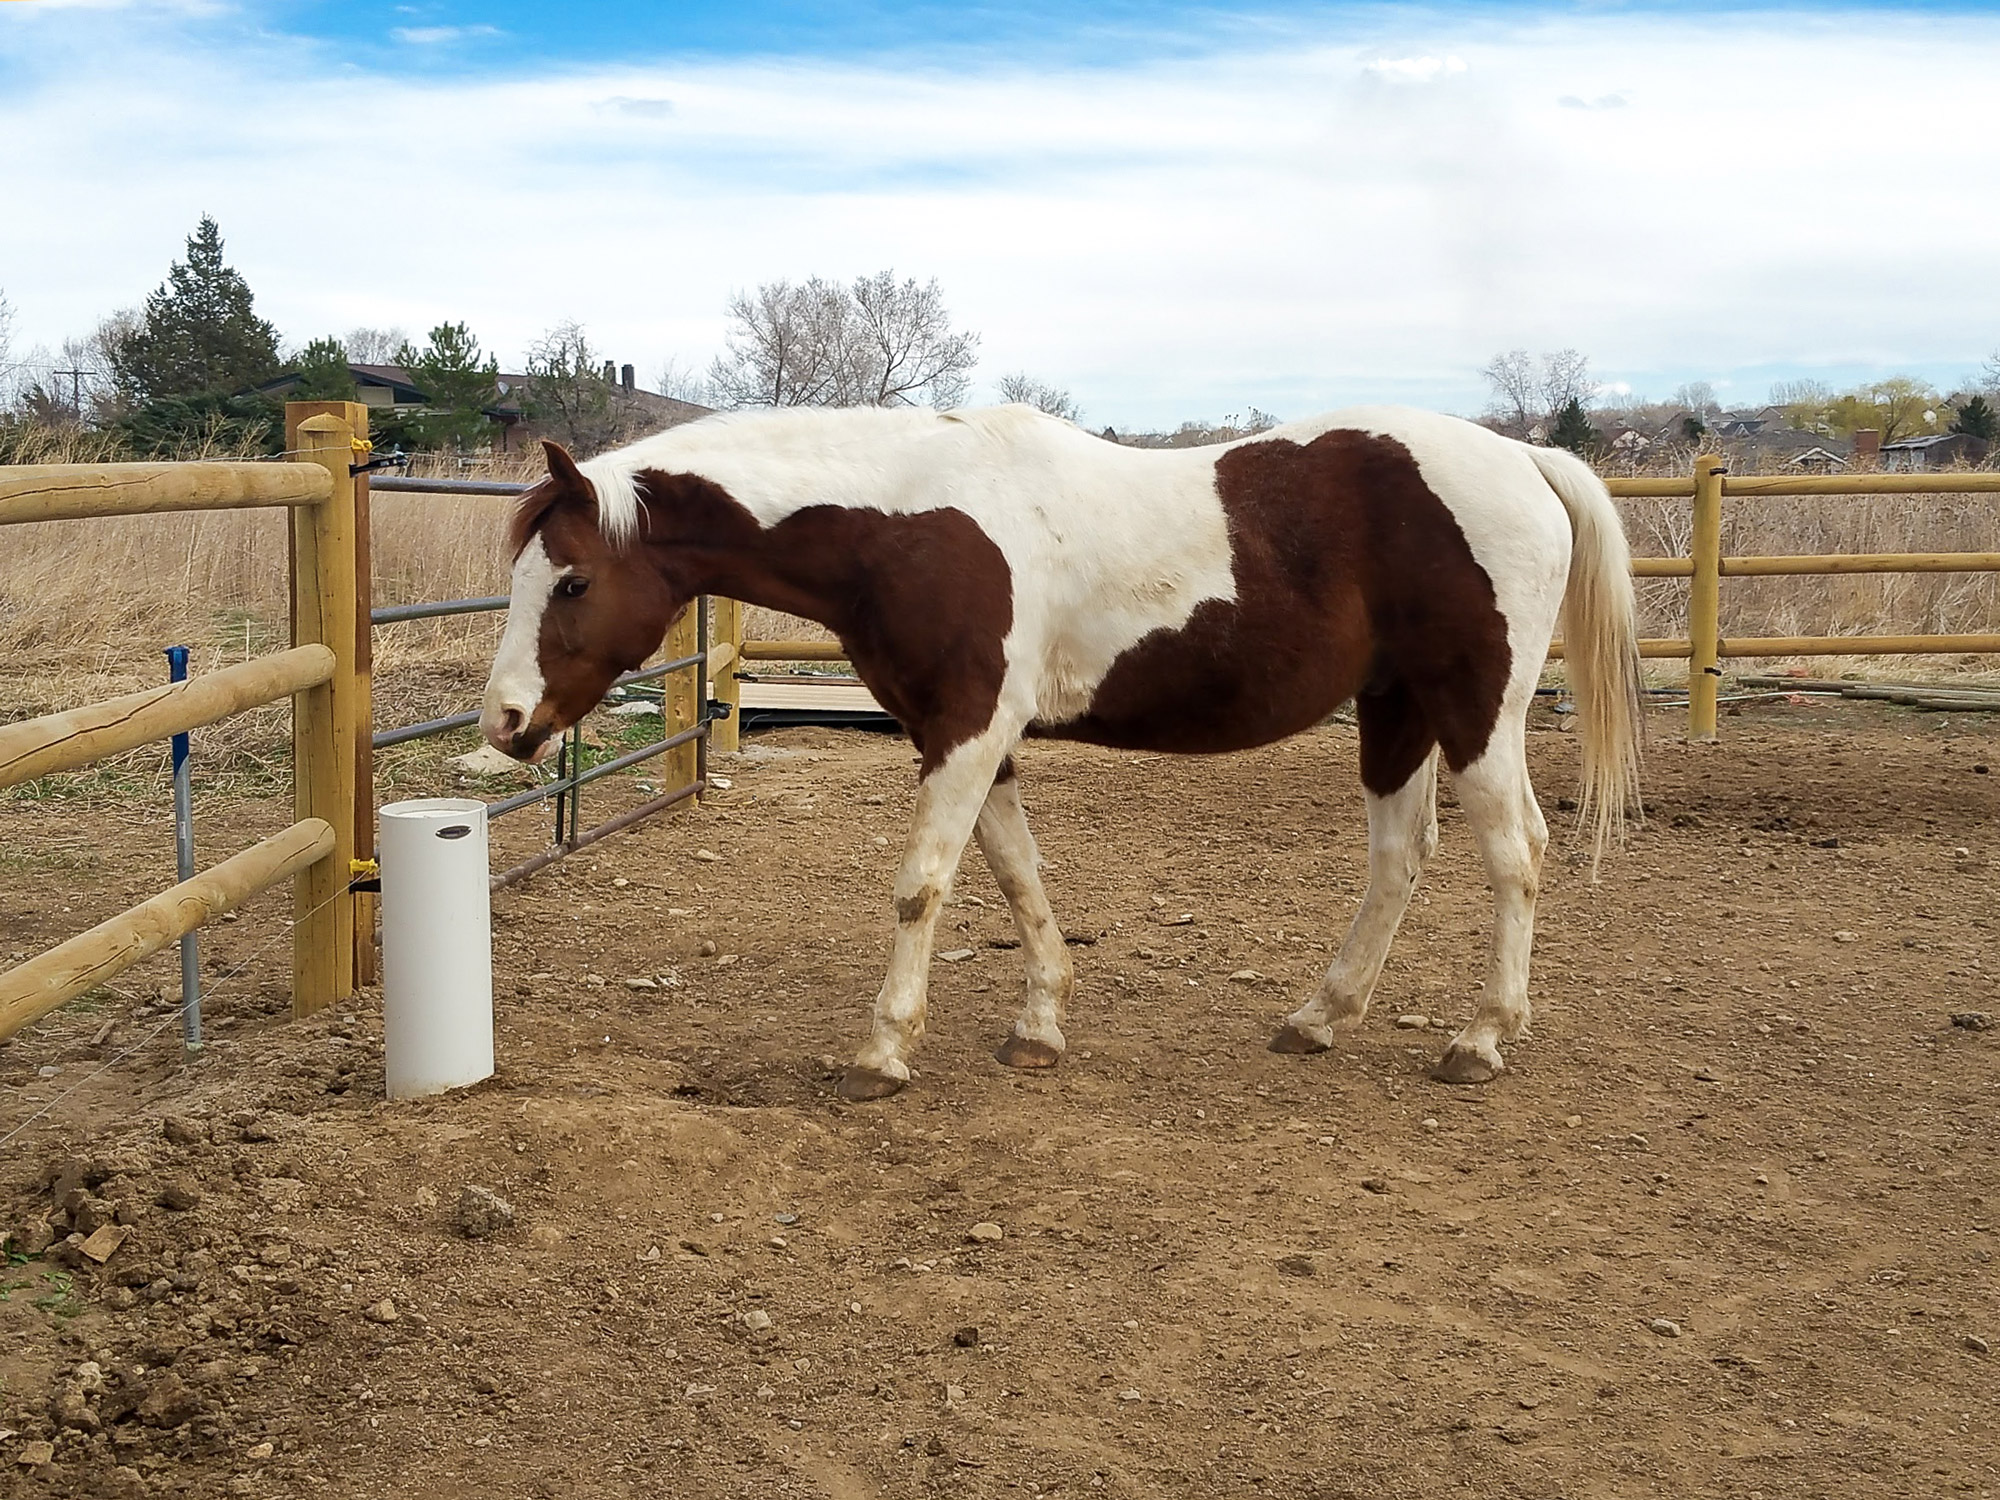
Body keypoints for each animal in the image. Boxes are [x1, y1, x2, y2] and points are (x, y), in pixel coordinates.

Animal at [480, 403, 1642, 1100]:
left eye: (572, 580)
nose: (502, 721)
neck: (907, 519)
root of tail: (1524, 459)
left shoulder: (964, 728)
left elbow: (922, 885)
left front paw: (883, 1050)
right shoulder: (966, 736)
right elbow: (1013, 872)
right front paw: (1038, 1024)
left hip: (1475, 710)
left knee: (1516, 852)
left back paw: (1480, 1038)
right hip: (1395, 709)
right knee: (1401, 856)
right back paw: (1318, 1018)